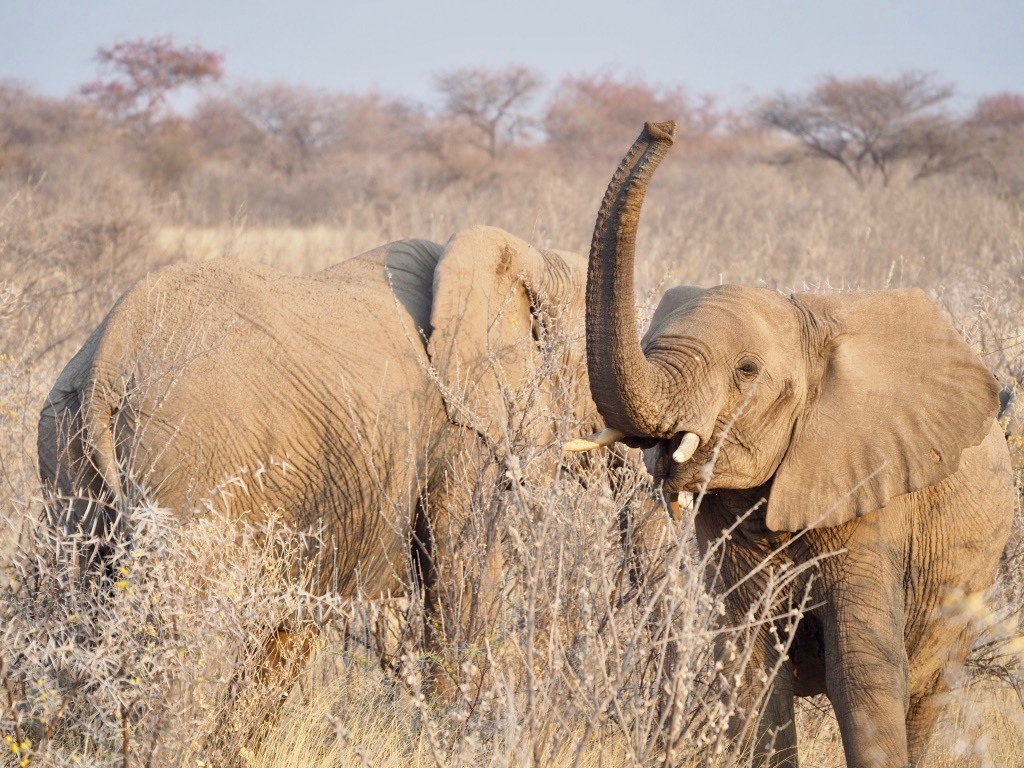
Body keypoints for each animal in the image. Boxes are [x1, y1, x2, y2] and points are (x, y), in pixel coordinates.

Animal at [569, 123, 1015, 765]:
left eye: (747, 371)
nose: (662, 127)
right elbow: (749, 668)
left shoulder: (871, 490)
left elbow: (862, 671)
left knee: (929, 690)